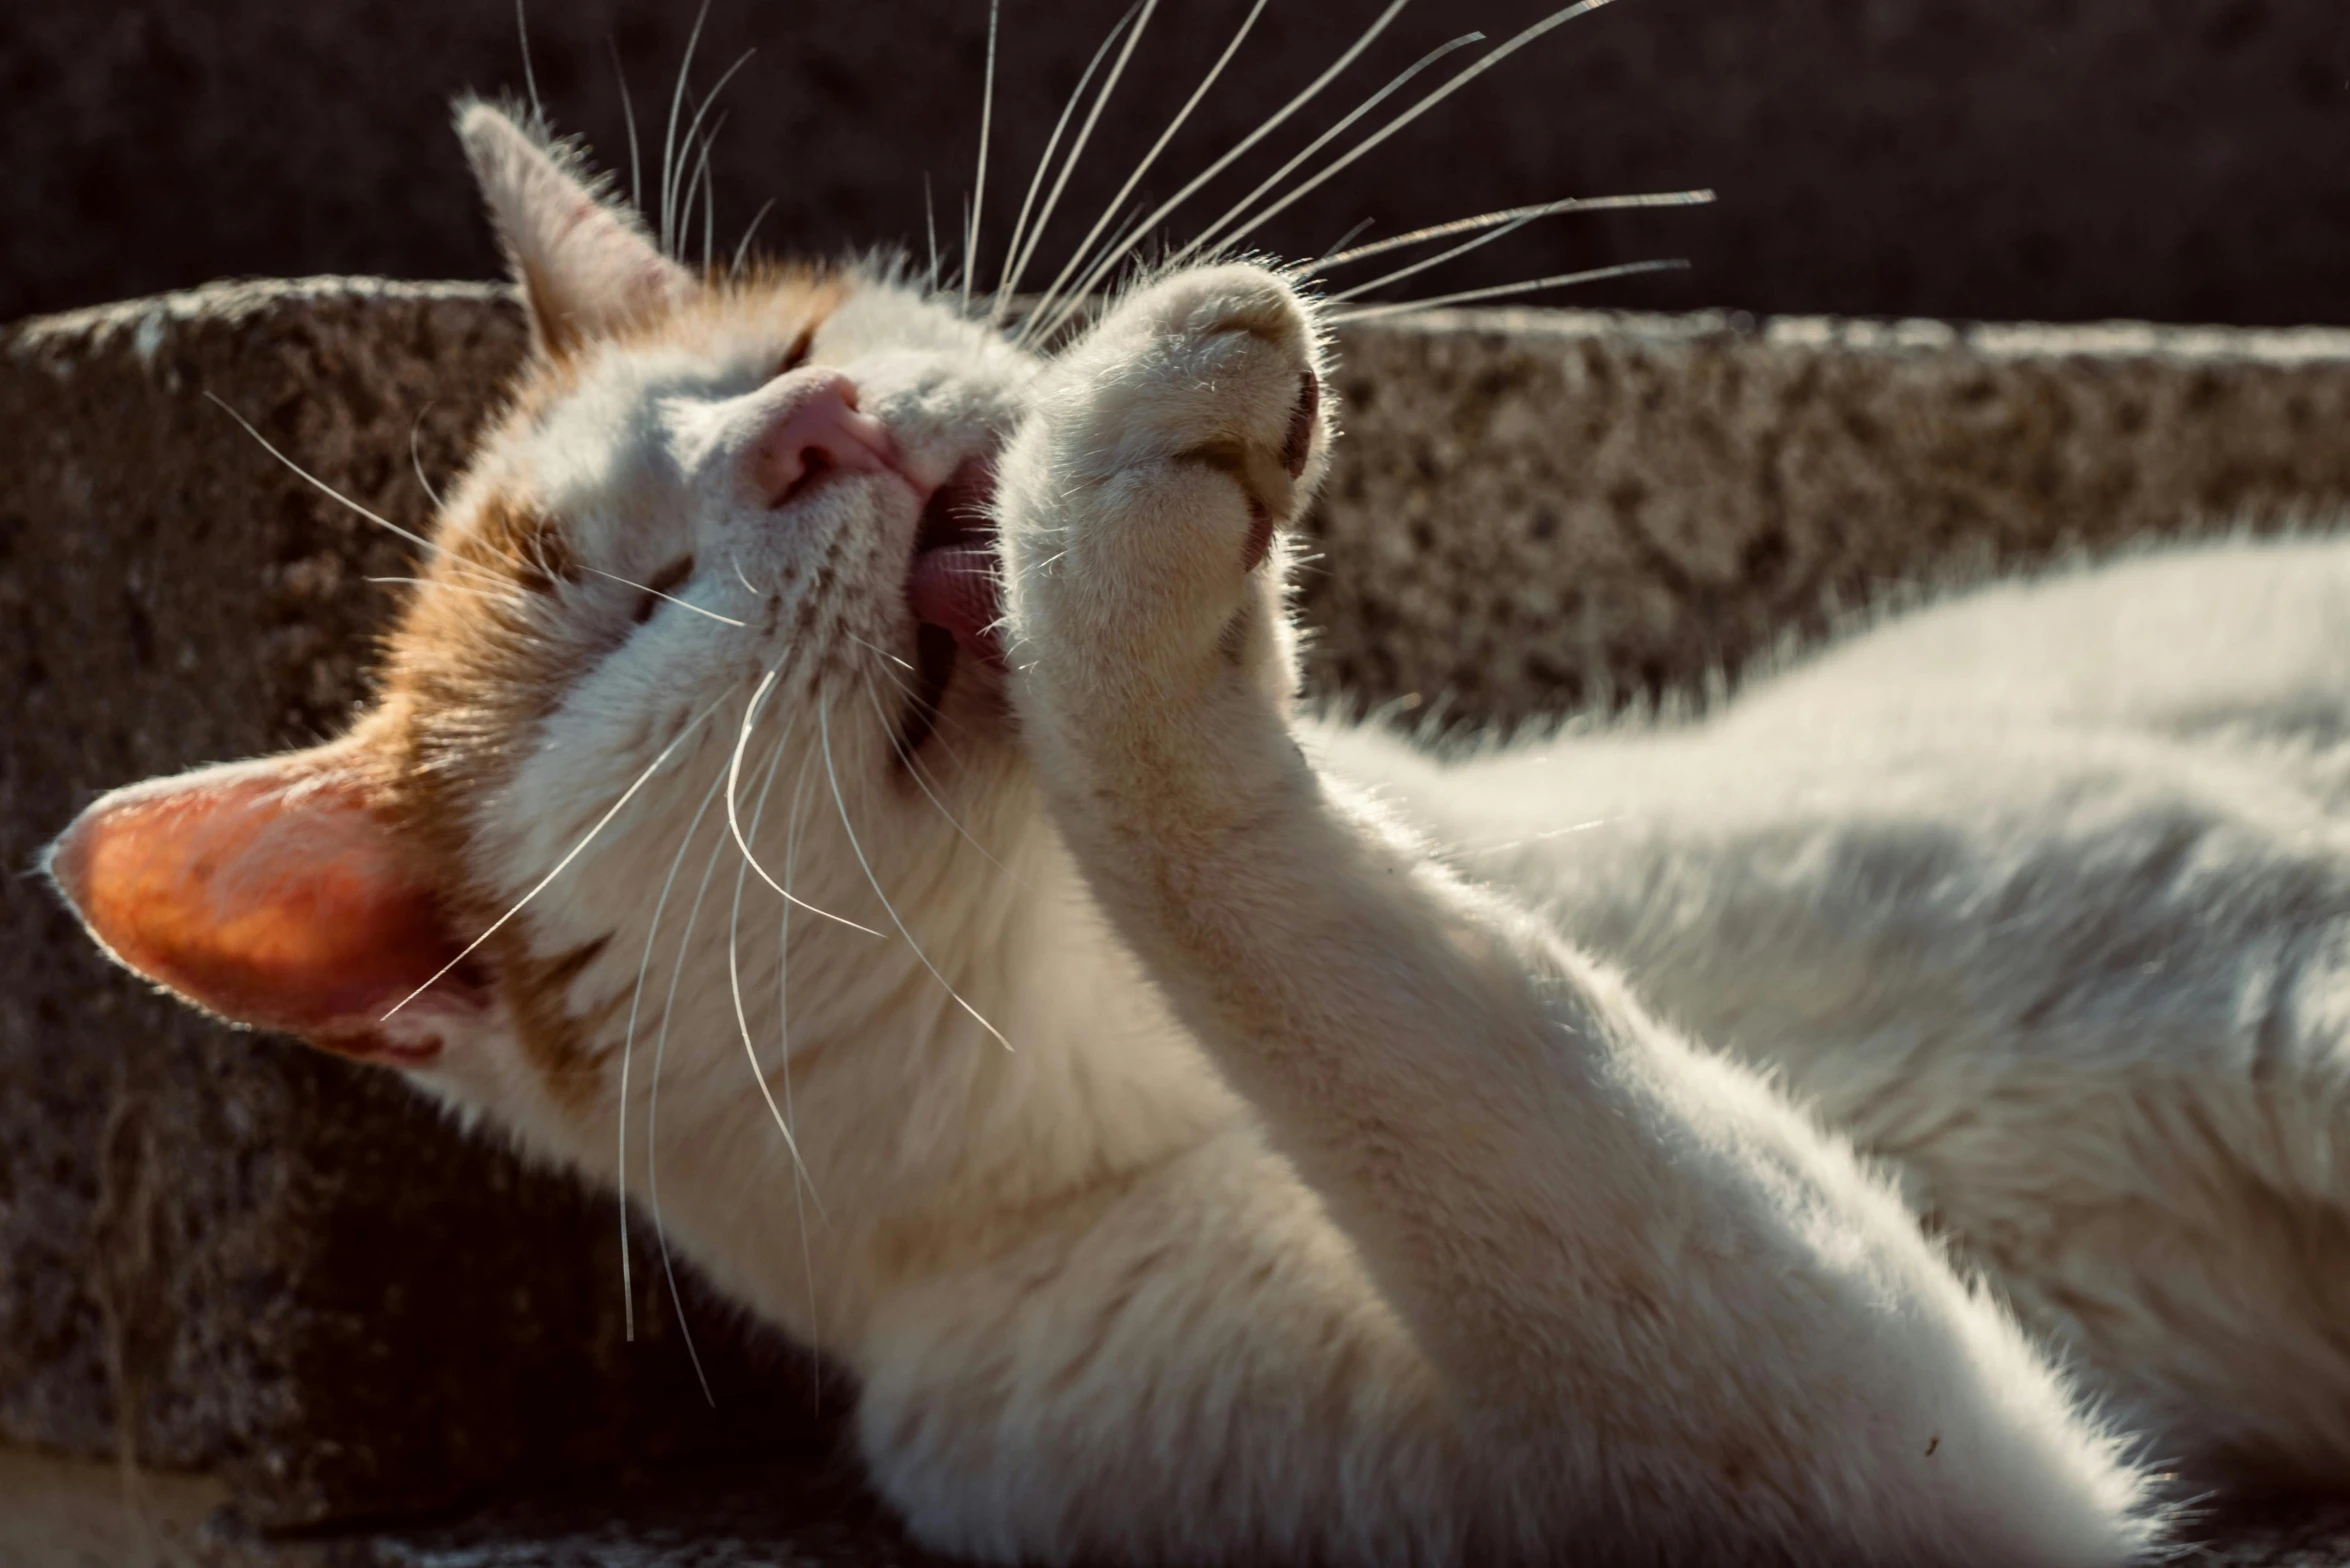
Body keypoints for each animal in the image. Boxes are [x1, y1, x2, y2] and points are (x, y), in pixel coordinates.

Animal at [41, 88, 2350, 1568]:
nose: (817, 427)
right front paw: (1101, 496)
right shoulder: (1910, 1461)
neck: (1120, 1038)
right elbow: (1409, 1020)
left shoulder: (2256, 949)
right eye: (625, 606)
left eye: (793, 340)